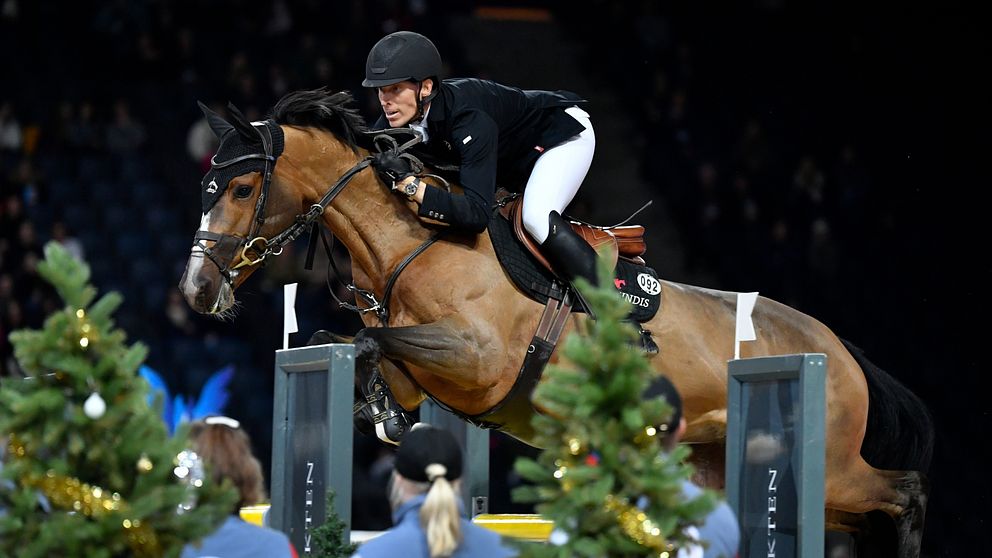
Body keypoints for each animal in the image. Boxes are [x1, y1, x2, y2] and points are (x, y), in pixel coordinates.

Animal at [180, 89, 936, 556]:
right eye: (206, 187)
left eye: (241, 188)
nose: (195, 290)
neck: (414, 246)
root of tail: (837, 347)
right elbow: (343, 343)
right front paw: (383, 410)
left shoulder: (478, 361)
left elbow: (369, 338)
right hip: (736, 470)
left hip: (833, 469)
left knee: (905, 495)